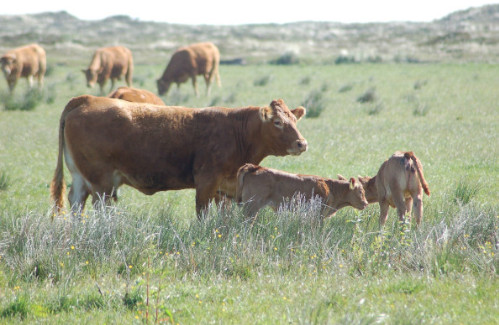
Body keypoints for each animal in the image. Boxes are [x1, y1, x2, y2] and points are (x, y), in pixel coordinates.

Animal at [51, 96, 308, 218]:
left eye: (294, 120)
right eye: (277, 122)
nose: (302, 143)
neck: (236, 130)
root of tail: (87, 99)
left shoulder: (225, 188)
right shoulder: (206, 182)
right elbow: (203, 214)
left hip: (80, 178)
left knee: (76, 203)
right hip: (100, 181)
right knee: (98, 207)